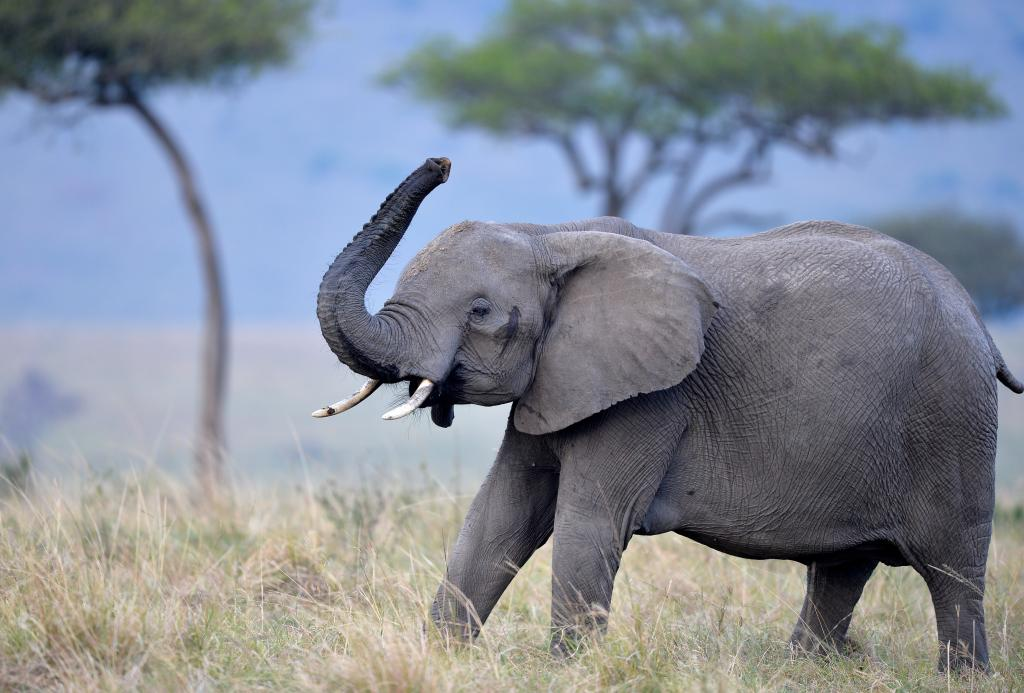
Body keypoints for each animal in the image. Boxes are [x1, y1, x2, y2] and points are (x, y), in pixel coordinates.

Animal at [313, 157, 1024, 671]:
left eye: (482, 312)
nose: (442, 163)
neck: (550, 235)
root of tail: (979, 324)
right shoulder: (560, 380)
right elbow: (500, 516)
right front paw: (438, 660)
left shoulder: (651, 396)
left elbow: (587, 521)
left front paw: (567, 674)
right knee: (842, 568)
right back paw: (805, 672)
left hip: (952, 419)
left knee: (952, 571)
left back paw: (961, 677)